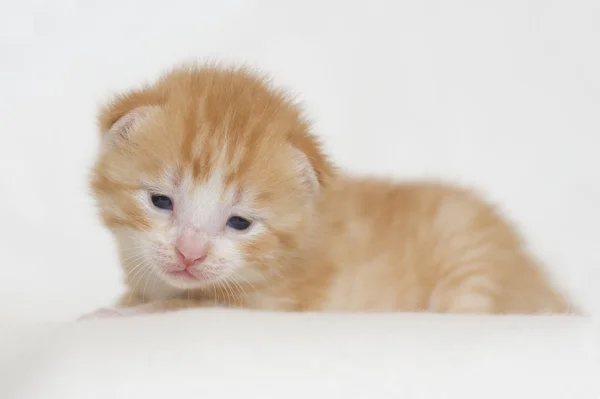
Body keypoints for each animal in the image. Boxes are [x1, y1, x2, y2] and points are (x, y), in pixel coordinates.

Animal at [82, 64, 576, 320]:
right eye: (160, 201)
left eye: (240, 223)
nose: (190, 253)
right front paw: (124, 302)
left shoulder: (268, 303)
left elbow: (182, 306)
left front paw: (113, 314)